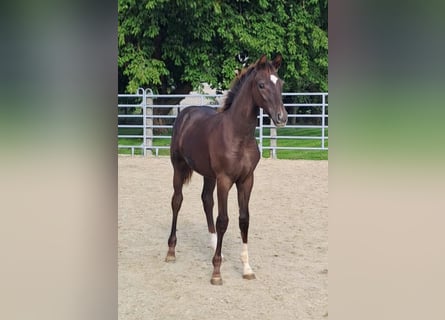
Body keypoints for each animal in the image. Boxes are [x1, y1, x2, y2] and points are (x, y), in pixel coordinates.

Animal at [165, 54, 286, 284]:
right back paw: (171, 251)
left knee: (206, 200)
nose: (281, 117)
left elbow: (243, 219)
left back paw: (213, 245)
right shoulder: (225, 180)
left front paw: (246, 268)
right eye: (261, 85)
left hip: (208, 175)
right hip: (178, 167)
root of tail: (186, 112)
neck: (238, 135)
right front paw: (216, 272)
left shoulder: (246, 180)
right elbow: (223, 220)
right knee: (177, 201)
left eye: (281, 84)